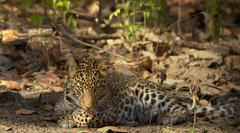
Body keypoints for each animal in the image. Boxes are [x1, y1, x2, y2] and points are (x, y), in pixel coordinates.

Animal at [54, 56, 240, 128]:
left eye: (97, 88)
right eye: (80, 88)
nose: (89, 106)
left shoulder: (110, 112)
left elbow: (86, 117)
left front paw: (77, 116)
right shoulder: (60, 106)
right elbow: (62, 110)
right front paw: (66, 117)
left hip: (148, 91)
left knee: (182, 110)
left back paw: (168, 117)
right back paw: (147, 115)